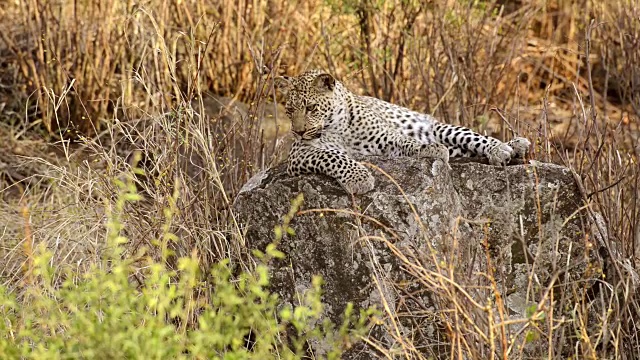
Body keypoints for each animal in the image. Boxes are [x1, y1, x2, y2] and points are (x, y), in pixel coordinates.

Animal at [276, 69, 528, 195]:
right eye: (289, 110)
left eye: (311, 108)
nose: (298, 132)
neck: (334, 126)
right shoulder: (299, 154)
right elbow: (333, 156)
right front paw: (359, 177)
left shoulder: (384, 137)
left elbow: (405, 141)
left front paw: (430, 148)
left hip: (441, 127)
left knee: (474, 138)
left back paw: (506, 147)